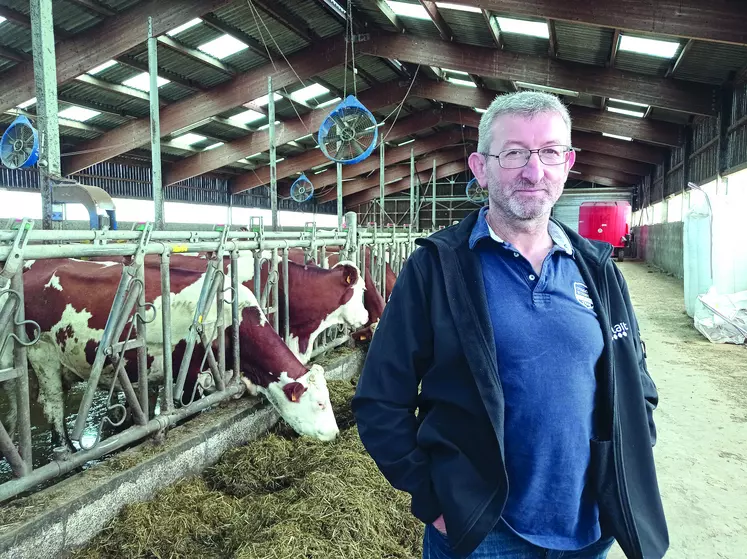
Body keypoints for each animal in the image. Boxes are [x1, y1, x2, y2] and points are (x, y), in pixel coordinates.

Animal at [7, 256, 340, 448]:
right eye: (320, 403)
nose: (335, 434)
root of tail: (36, 265)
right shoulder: (188, 373)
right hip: (42, 353)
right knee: (53, 405)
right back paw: (65, 448)